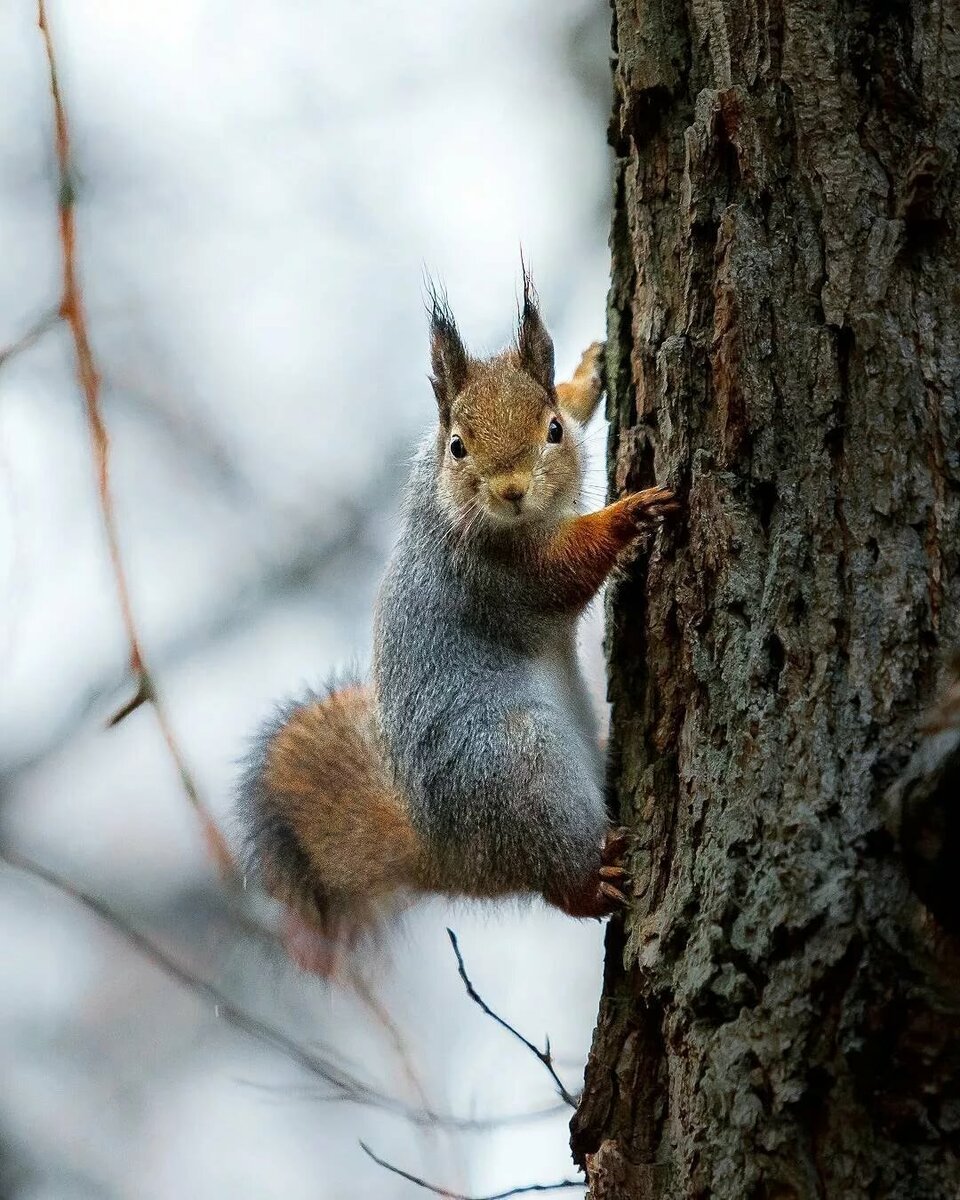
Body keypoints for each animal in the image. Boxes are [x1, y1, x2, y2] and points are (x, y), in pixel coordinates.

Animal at [238, 276, 678, 974]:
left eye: (552, 429)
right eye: (459, 446)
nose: (510, 491)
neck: (452, 501)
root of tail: (448, 855)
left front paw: (587, 372)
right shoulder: (496, 574)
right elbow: (566, 568)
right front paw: (626, 514)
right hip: (522, 770)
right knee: (559, 884)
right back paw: (595, 876)